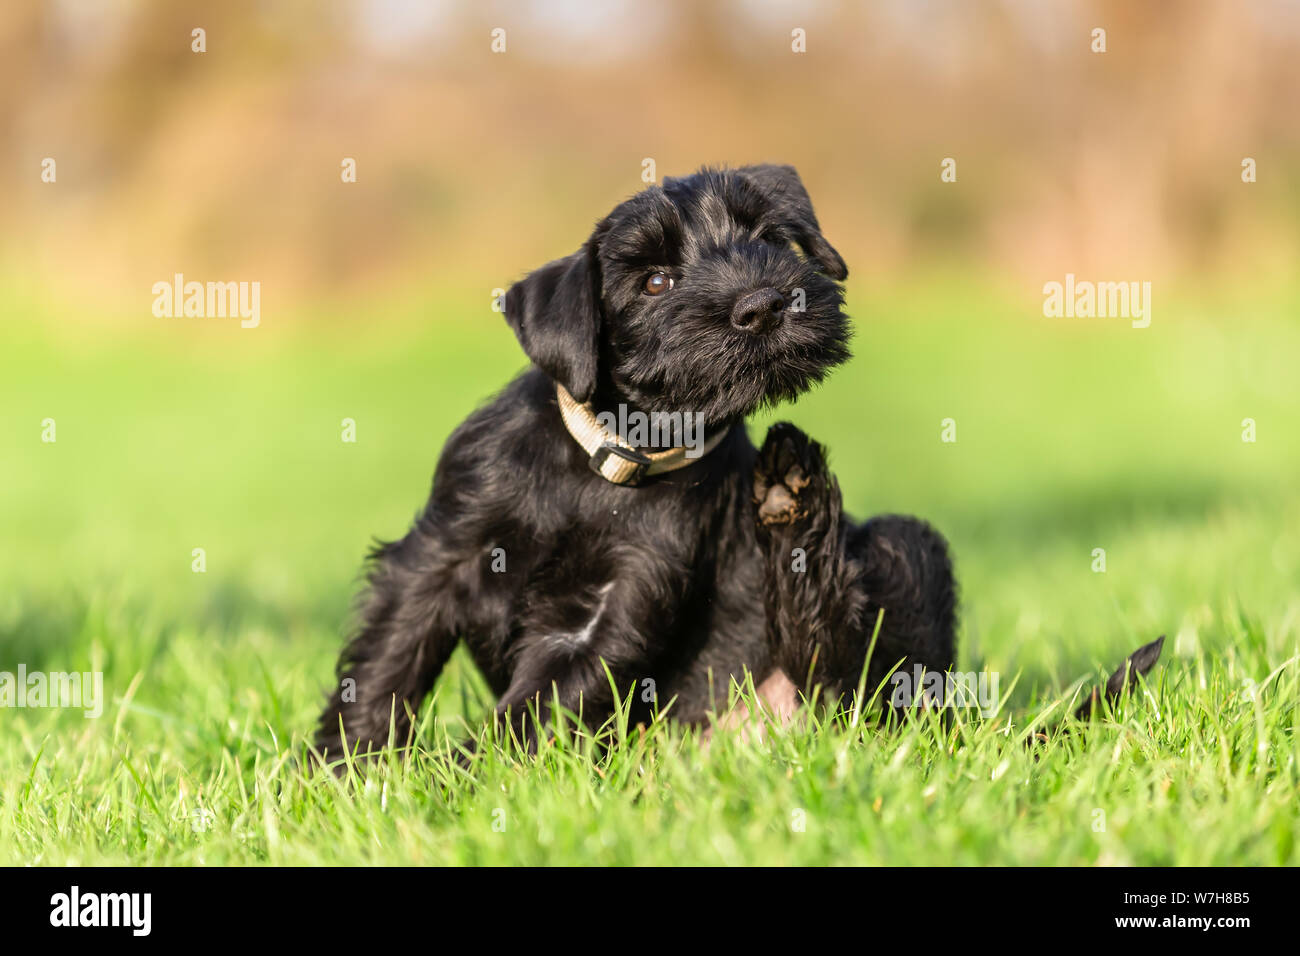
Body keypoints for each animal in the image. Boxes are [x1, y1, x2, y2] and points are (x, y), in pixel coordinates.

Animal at [313, 166, 956, 764]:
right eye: (654, 281)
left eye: (769, 239)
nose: (763, 305)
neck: (609, 461)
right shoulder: (437, 555)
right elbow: (388, 663)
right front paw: (344, 767)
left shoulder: (621, 600)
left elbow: (534, 707)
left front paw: (461, 777)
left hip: (905, 548)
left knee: (852, 685)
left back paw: (795, 494)